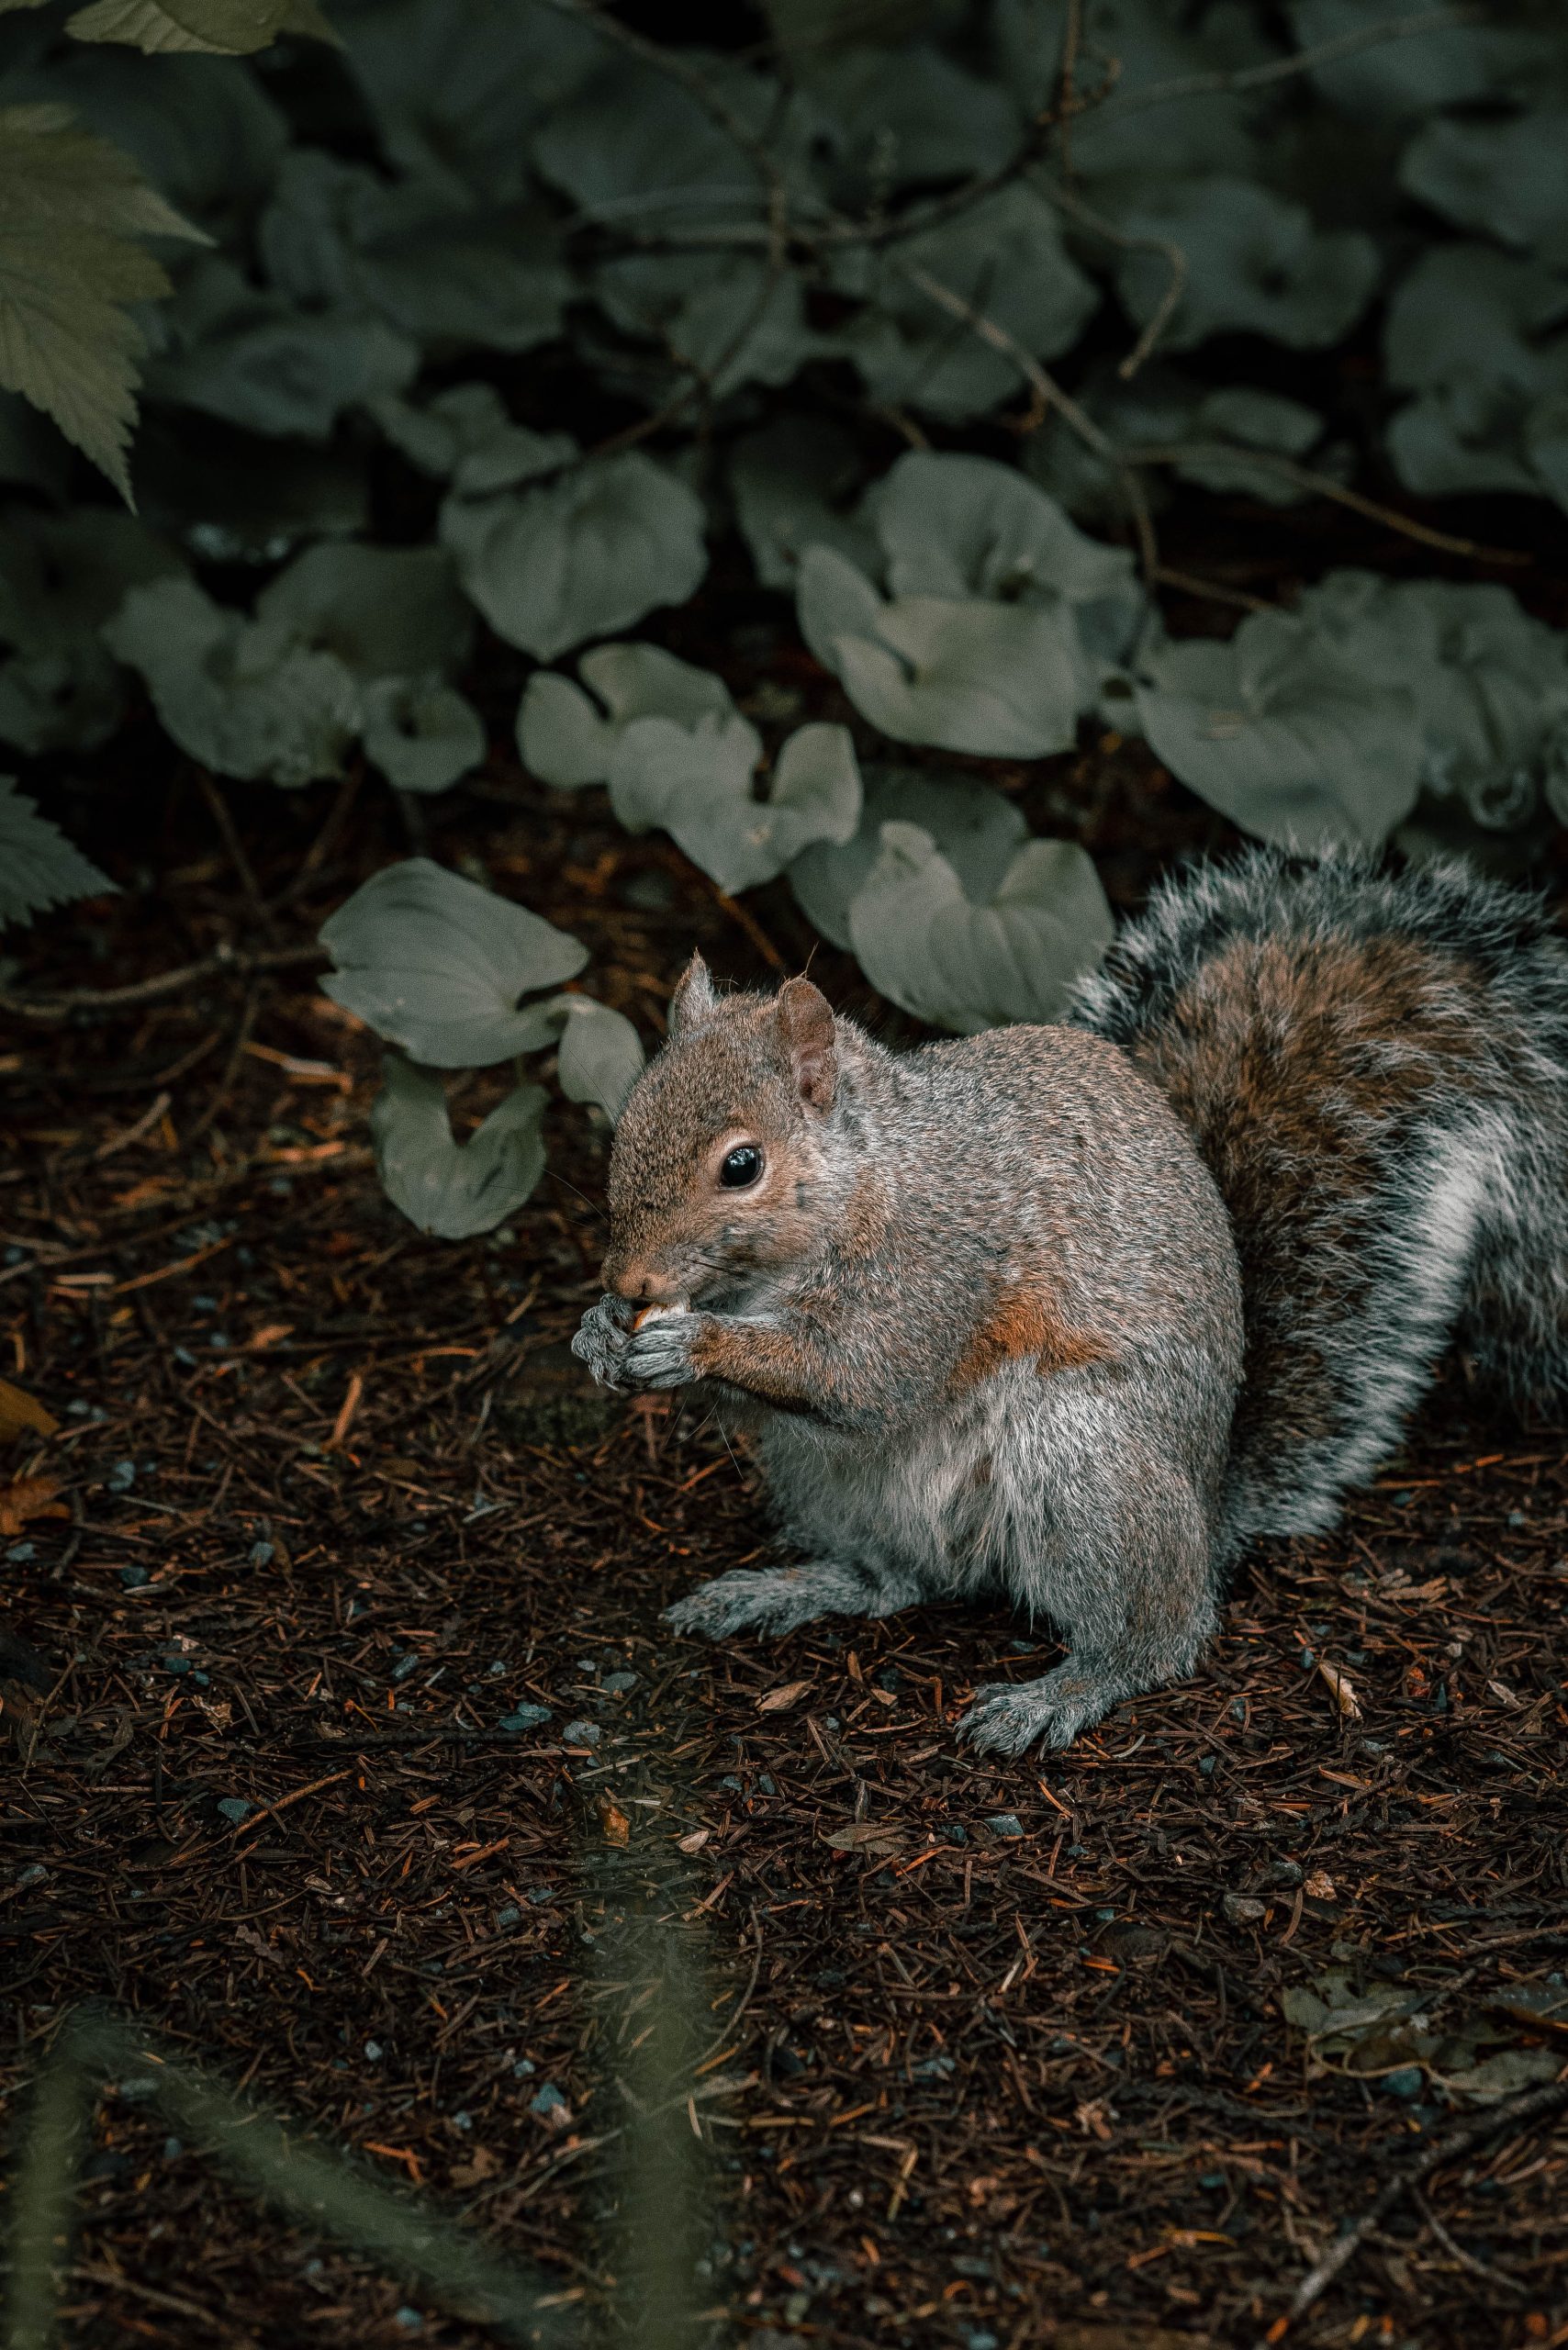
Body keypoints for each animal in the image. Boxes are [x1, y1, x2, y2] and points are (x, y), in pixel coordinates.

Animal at [573, 845, 1568, 1748]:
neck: (867, 1179)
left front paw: (695, 1342)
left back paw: (1065, 1692)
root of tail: (1208, 1506)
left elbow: (864, 1375)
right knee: (896, 1579)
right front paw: (600, 1337)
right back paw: (782, 1590)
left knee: (1161, 1634)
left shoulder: (939, 1263)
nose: (628, 1282)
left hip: (1084, 1459)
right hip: (826, 1480)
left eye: (742, 1165)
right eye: (627, 1121)